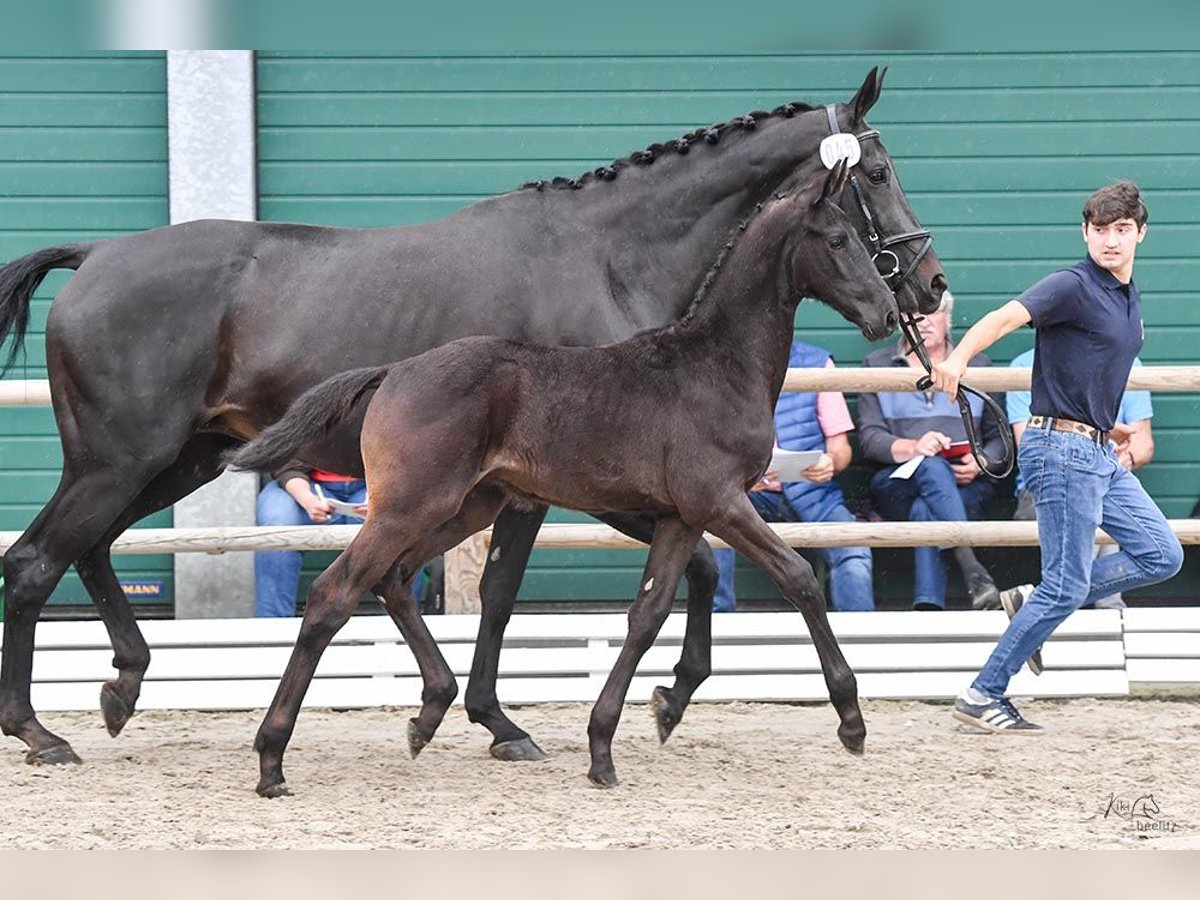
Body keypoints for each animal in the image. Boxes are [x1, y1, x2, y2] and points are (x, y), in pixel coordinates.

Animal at [229, 162, 897, 796]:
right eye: (838, 238)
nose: (888, 313)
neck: (716, 365)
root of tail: (395, 370)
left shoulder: (681, 516)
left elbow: (649, 611)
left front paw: (612, 741)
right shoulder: (721, 501)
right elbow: (798, 578)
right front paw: (851, 721)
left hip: (467, 506)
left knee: (392, 578)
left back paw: (429, 716)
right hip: (410, 506)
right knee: (332, 595)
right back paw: (271, 760)